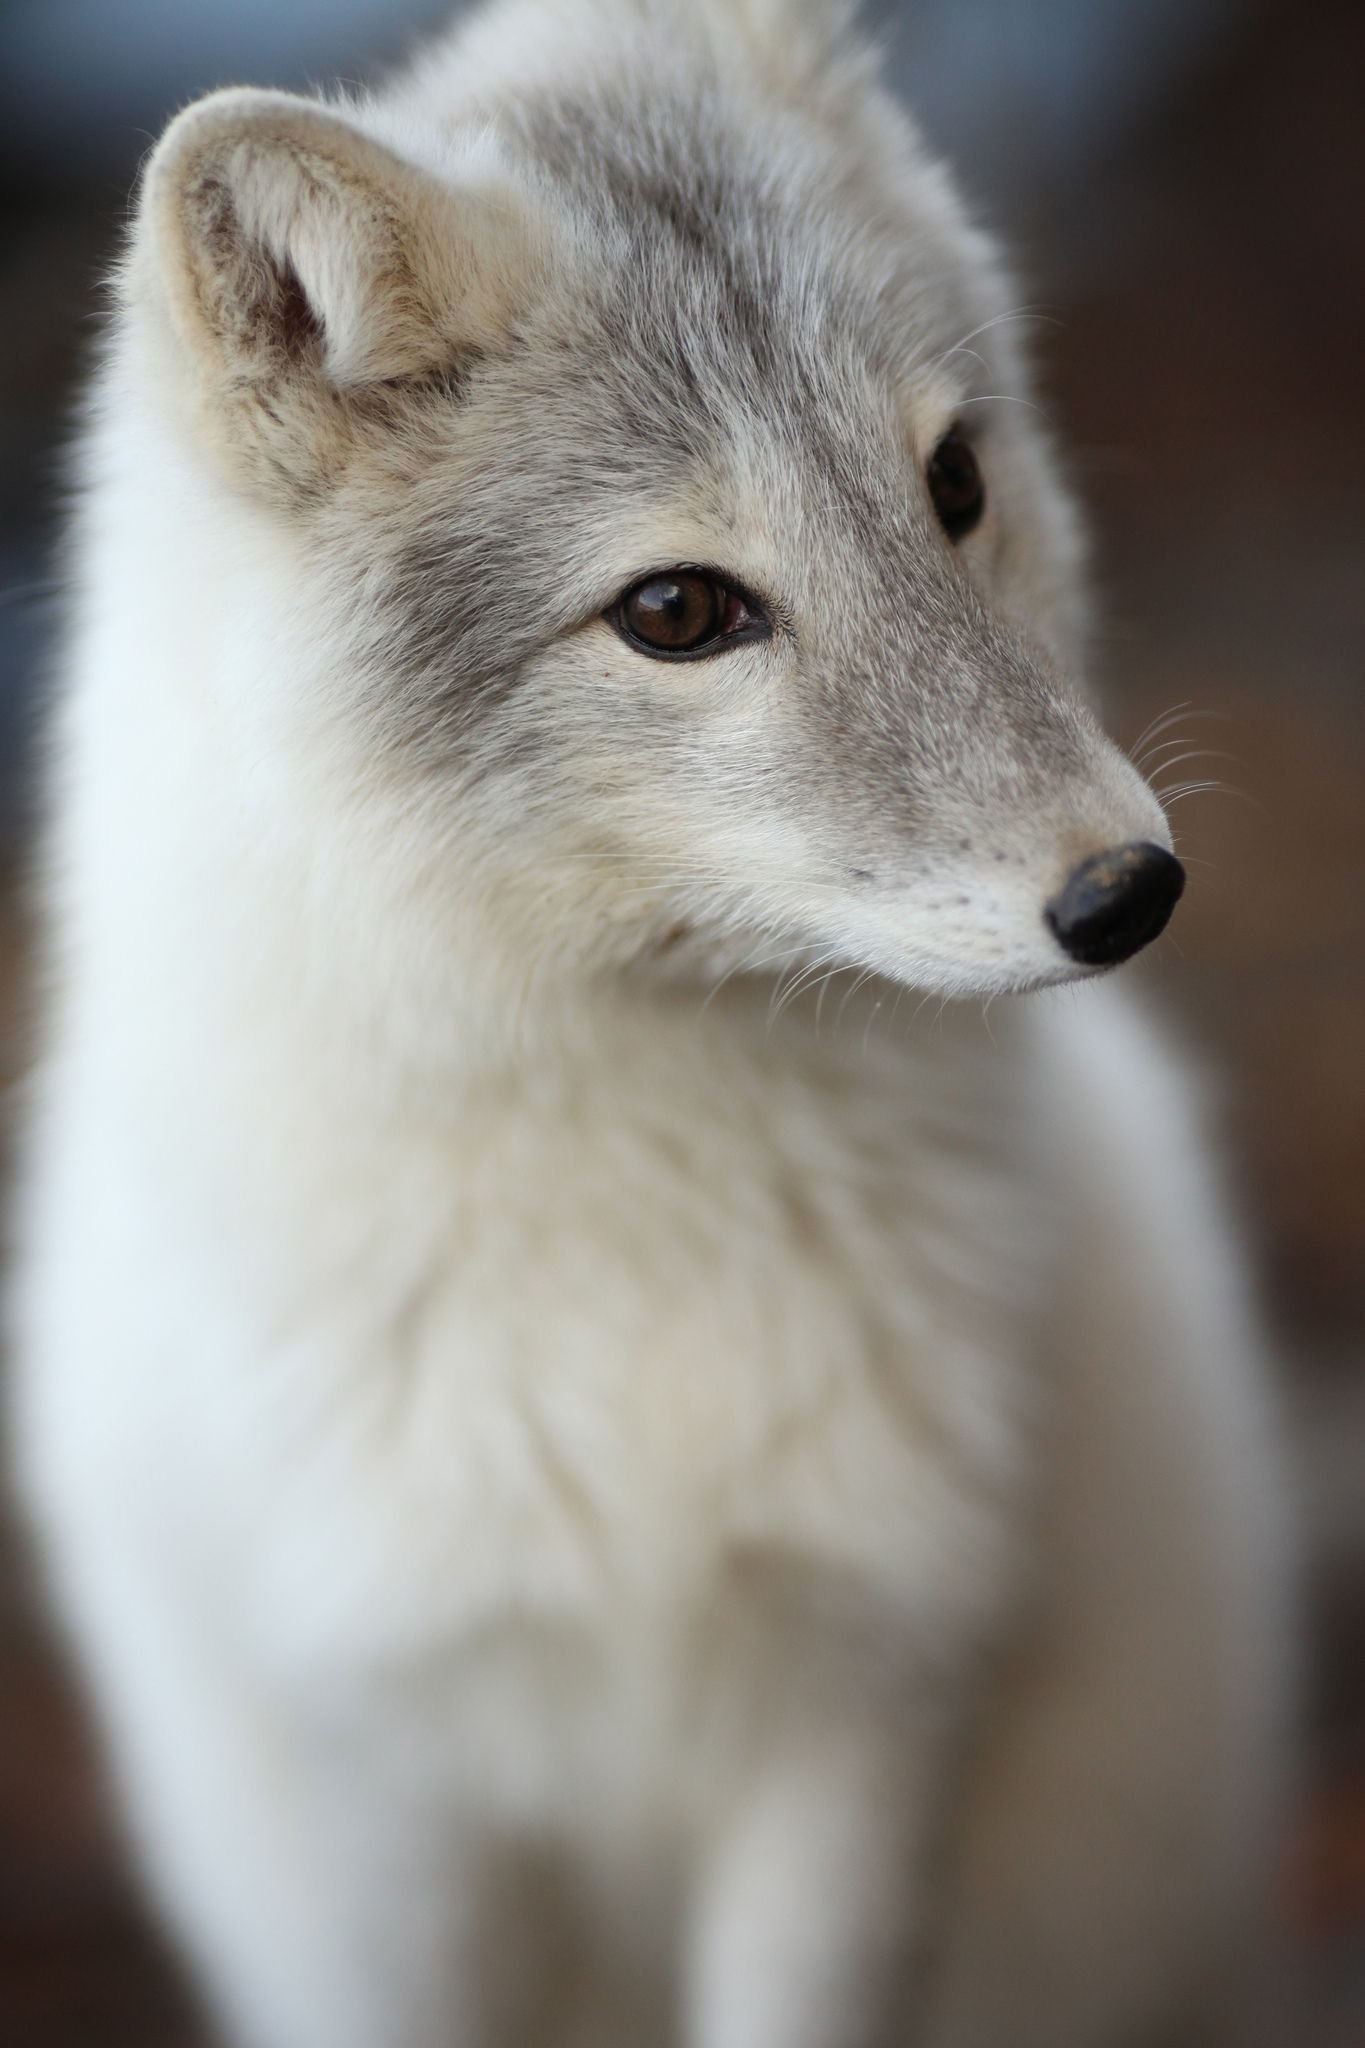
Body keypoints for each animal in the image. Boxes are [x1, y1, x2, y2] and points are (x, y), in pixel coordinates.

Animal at [15, 4, 1285, 2048]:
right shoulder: (397, 1791)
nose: (1129, 894)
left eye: (954, 479)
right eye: (679, 609)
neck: (644, 1255)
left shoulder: (859, 1713)